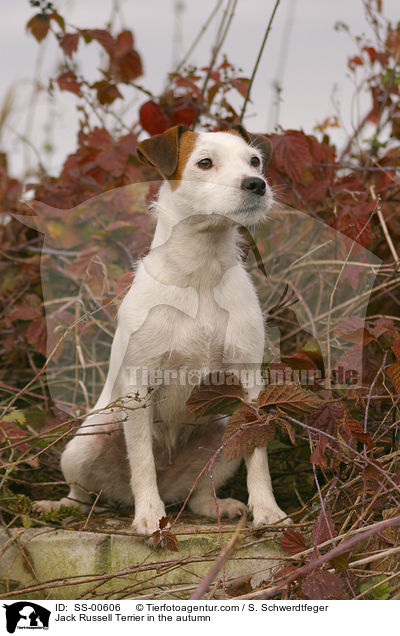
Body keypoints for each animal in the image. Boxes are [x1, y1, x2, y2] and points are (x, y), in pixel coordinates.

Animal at [34, 124, 290, 532]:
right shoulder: (139, 387)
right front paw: (150, 516)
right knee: (83, 491)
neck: (200, 275)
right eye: (205, 162)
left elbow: (258, 456)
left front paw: (267, 510)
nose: (257, 184)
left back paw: (214, 505)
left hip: (221, 437)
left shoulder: (248, 382)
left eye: (254, 161)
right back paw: (65, 505)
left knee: (200, 487)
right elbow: (142, 461)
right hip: (83, 445)